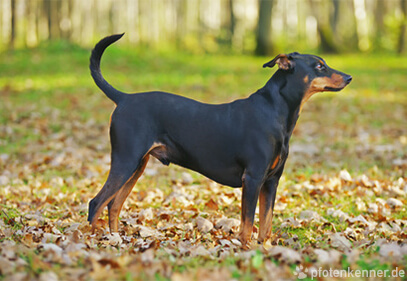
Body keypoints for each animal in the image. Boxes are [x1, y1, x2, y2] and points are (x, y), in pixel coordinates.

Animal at [87, 34, 352, 246]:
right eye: (319, 66)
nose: (349, 77)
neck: (276, 112)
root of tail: (123, 98)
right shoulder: (252, 179)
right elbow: (247, 224)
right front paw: (245, 250)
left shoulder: (271, 181)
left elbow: (265, 225)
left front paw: (264, 249)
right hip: (125, 160)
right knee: (96, 203)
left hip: (137, 166)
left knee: (113, 204)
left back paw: (116, 239)